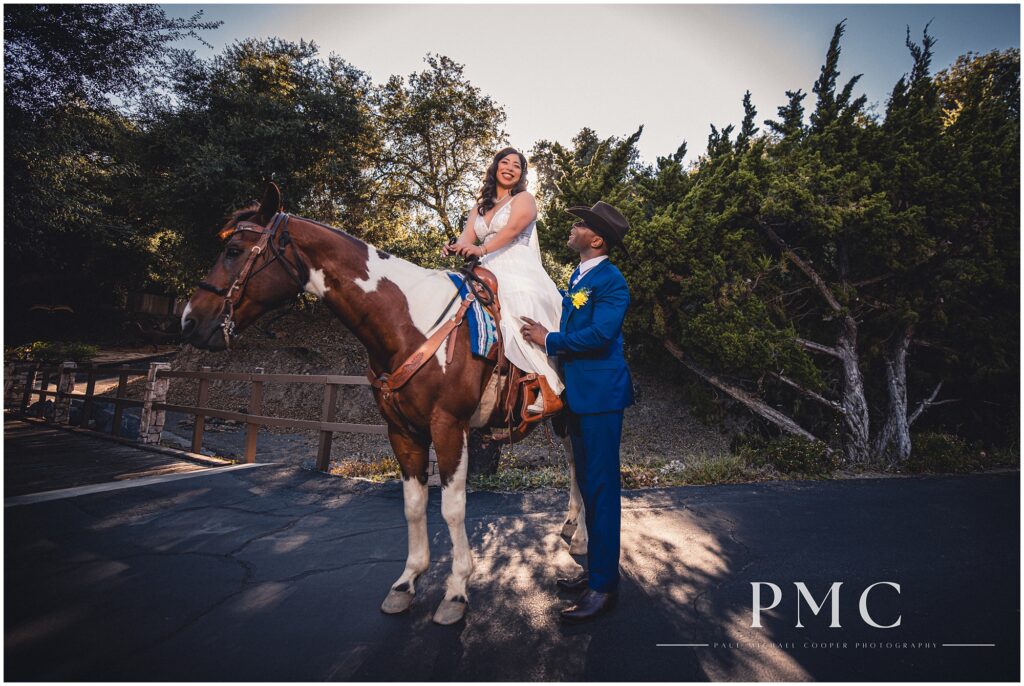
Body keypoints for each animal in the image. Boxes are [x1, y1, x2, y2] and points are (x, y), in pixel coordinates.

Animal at [180, 185, 589, 626]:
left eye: (234, 250)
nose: (188, 321)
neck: (410, 322)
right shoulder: (402, 431)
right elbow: (413, 505)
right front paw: (407, 582)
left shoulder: (449, 427)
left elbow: (452, 508)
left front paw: (456, 591)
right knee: (573, 463)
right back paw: (572, 525)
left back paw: (583, 536)